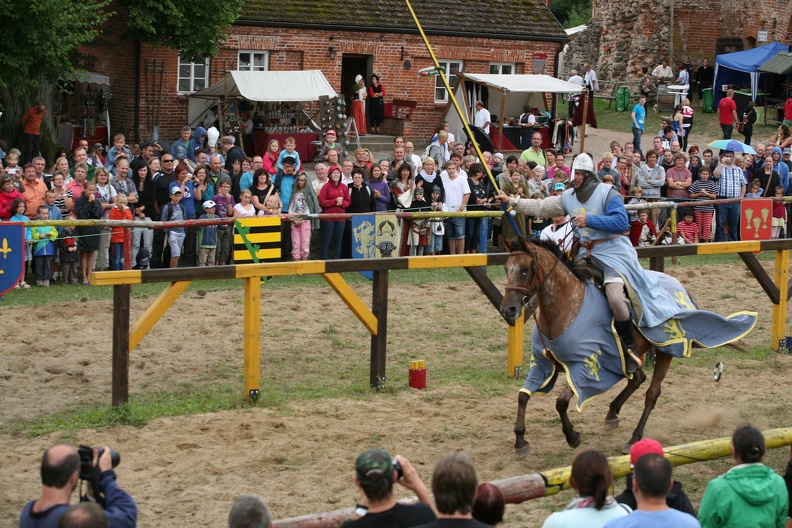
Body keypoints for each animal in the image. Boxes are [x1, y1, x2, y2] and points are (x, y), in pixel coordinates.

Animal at [498, 236, 672, 458]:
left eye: (525, 269)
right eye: (506, 268)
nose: (508, 310)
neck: (564, 308)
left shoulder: (584, 366)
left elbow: (561, 402)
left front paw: (572, 436)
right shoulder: (542, 364)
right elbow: (522, 396)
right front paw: (520, 440)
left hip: (666, 350)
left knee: (652, 393)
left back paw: (634, 438)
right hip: (627, 361)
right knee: (637, 378)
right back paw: (612, 413)